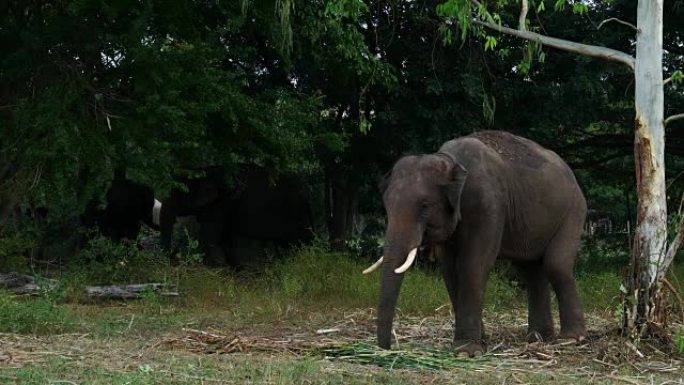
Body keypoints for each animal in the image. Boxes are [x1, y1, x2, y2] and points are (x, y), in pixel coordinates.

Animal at [364, 130, 588, 356]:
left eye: (425, 206)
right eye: (387, 204)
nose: (387, 347)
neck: (448, 160)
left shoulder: (488, 204)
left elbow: (473, 265)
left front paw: (466, 351)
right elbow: (449, 269)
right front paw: (480, 342)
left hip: (574, 211)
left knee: (556, 265)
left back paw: (570, 339)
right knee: (531, 271)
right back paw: (538, 338)